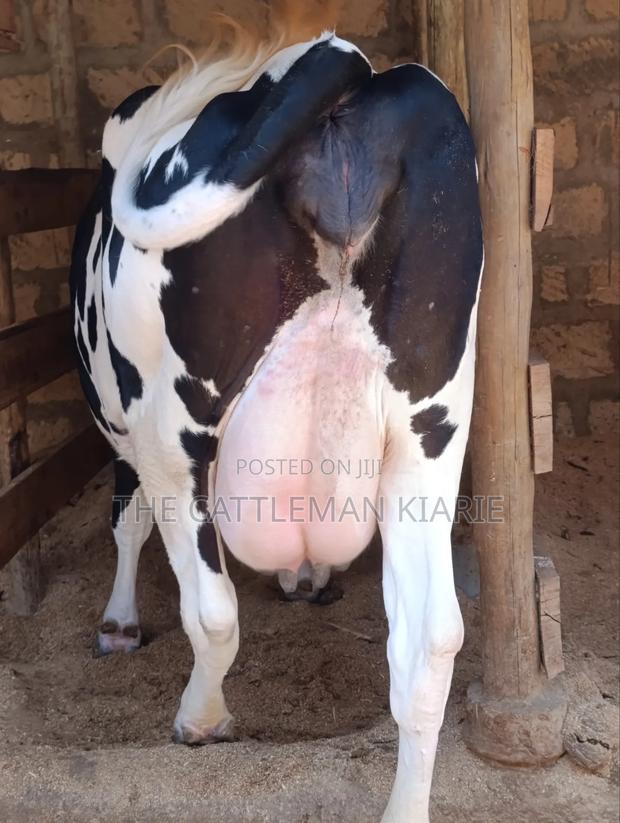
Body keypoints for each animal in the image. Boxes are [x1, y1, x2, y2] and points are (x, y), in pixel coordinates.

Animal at [70, 18, 483, 823]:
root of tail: (331, 59)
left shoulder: (125, 432)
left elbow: (125, 520)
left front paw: (120, 623)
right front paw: (308, 576)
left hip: (173, 430)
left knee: (213, 609)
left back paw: (200, 718)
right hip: (432, 424)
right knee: (431, 641)